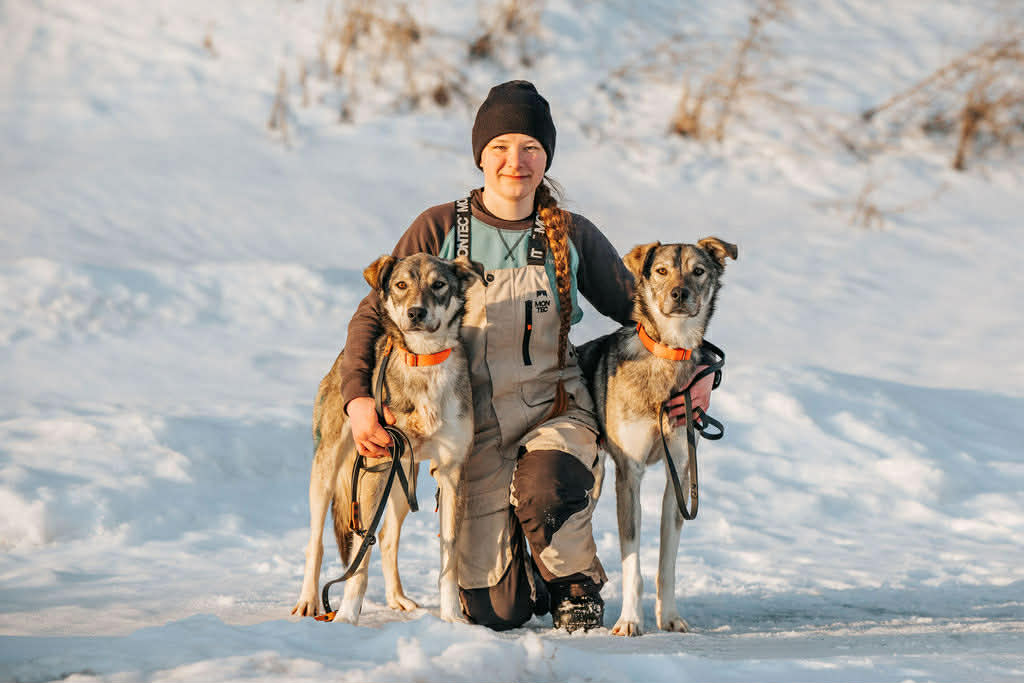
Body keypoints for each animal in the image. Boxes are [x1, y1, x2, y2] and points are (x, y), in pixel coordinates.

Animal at [291, 252, 483, 624]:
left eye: (439, 285)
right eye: (401, 285)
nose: (416, 313)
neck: (423, 360)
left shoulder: (452, 473)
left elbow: (449, 558)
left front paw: (453, 617)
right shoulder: (377, 463)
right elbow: (359, 558)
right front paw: (347, 617)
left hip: (402, 478)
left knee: (387, 537)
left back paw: (397, 598)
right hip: (330, 472)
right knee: (316, 542)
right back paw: (309, 601)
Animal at [578, 238, 737, 636]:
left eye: (699, 271)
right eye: (661, 271)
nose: (679, 293)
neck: (670, 354)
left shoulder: (678, 473)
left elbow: (667, 564)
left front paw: (671, 618)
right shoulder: (629, 474)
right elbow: (632, 563)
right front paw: (630, 621)